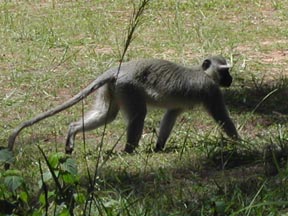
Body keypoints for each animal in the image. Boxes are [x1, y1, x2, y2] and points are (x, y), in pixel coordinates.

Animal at [7, 55, 241, 154]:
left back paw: (72, 131)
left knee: (106, 115)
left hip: (112, 89)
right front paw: (241, 143)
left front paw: (159, 146)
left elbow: (170, 115)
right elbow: (222, 117)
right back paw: (129, 150)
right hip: (129, 89)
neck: (204, 74)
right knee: (138, 115)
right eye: (225, 71)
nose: (230, 79)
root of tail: (118, 70)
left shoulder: (178, 106)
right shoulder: (211, 90)